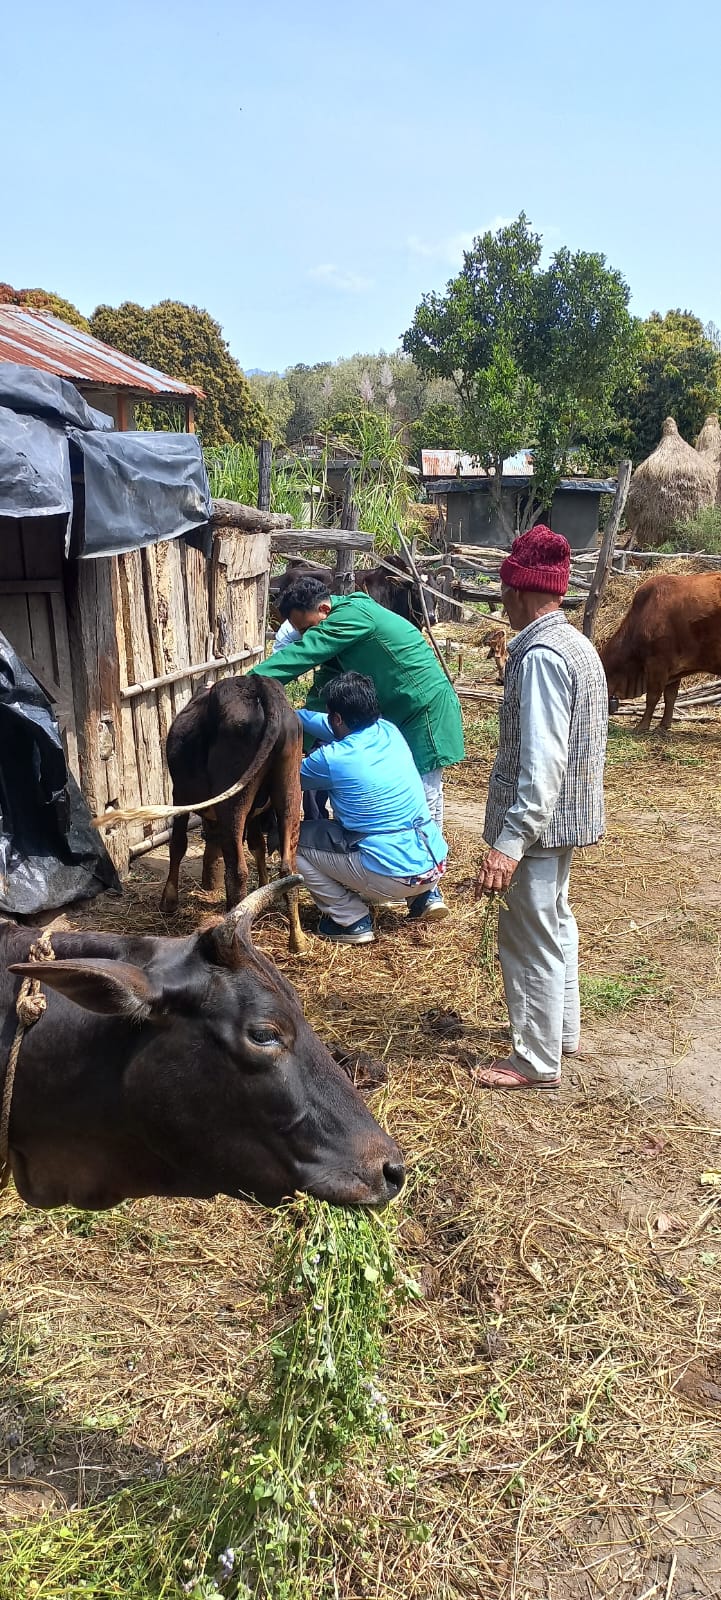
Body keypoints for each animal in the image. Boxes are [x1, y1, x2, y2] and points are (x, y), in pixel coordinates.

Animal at [159, 676, 305, 951]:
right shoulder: (256, 814)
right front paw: (262, 892)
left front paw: (168, 901)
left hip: (233, 803)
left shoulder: (179, 796)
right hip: (290, 791)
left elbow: (178, 844)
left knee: (237, 870)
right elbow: (258, 845)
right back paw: (298, 940)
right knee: (288, 869)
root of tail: (259, 686)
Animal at [600, 571, 721, 732]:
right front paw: (664, 725)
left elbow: (652, 697)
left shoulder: (657, 663)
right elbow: (670, 696)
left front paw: (642, 726)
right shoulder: (675, 670)